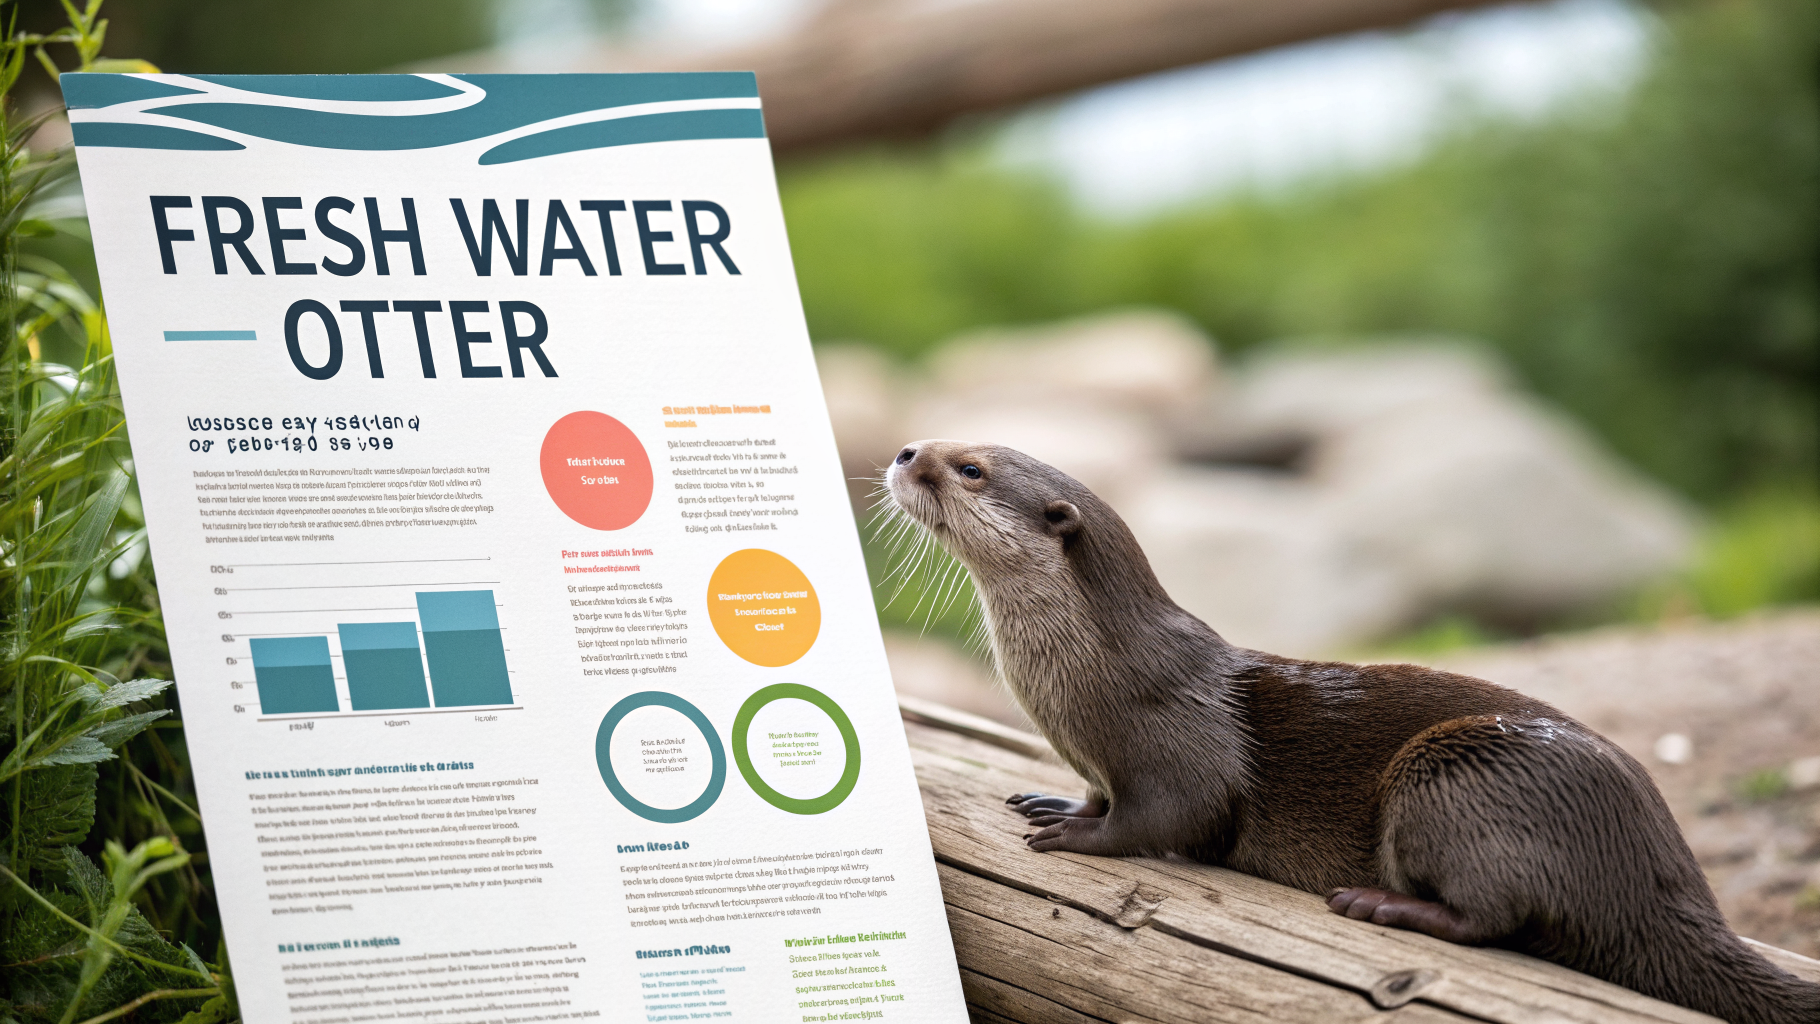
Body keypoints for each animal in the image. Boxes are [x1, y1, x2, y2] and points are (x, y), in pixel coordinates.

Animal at [884, 439, 1820, 1024]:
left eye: (969, 466)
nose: (904, 451)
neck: (1090, 677)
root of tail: (1662, 873)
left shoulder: (1177, 749)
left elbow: (1170, 817)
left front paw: (1081, 837)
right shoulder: (1097, 756)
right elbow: (1095, 790)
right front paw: (1054, 803)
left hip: (1461, 772)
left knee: (1499, 917)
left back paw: (1381, 904)